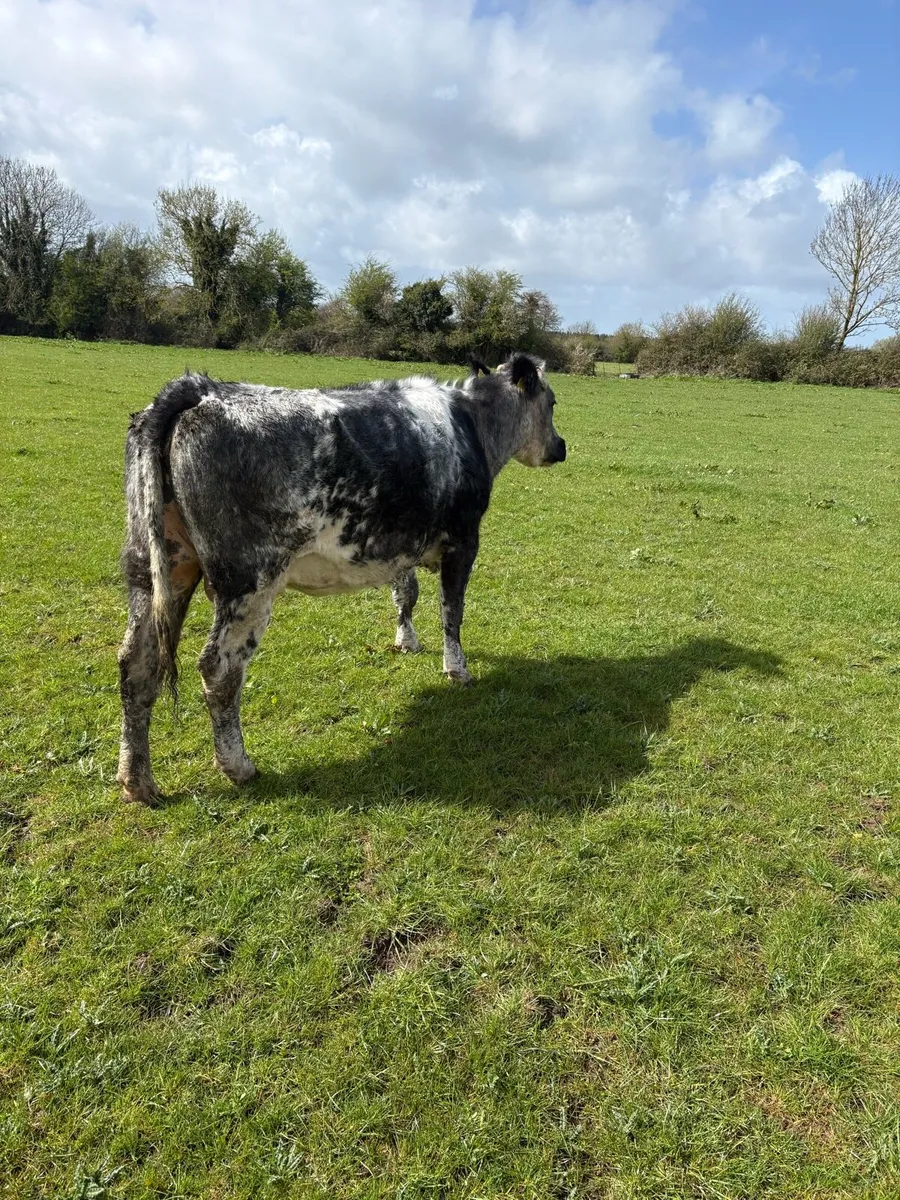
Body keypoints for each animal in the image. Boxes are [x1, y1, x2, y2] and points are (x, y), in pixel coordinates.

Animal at [116, 353, 566, 804]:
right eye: (552, 402)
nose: (561, 446)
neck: (473, 425)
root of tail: (201, 389)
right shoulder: (463, 539)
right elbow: (451, 611)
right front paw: (457, 670)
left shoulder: (400, 545)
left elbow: (406, 593)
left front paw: (406, 641)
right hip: (249, 581)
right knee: (218, 667)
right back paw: (238, 767)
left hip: (156, 567)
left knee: (136, 662)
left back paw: (138, 782)